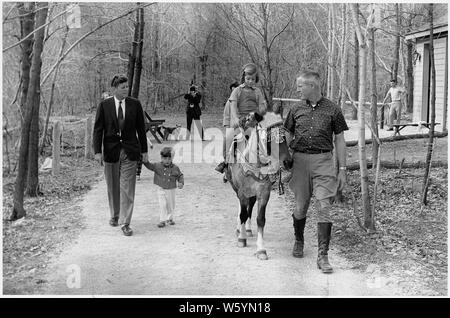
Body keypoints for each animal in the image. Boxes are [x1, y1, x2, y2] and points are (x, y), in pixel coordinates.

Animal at [225, 111, 292, 258]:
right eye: (269, 138)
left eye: (284, 137)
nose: (288, 162)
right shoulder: (242, 192)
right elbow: (242, 214)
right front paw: (242, 239)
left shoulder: (264, 193)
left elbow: (260, 219)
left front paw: (261, 249)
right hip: (236, 188)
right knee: (242, 209)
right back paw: (240, 229)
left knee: (250, 208)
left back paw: (248, 229)